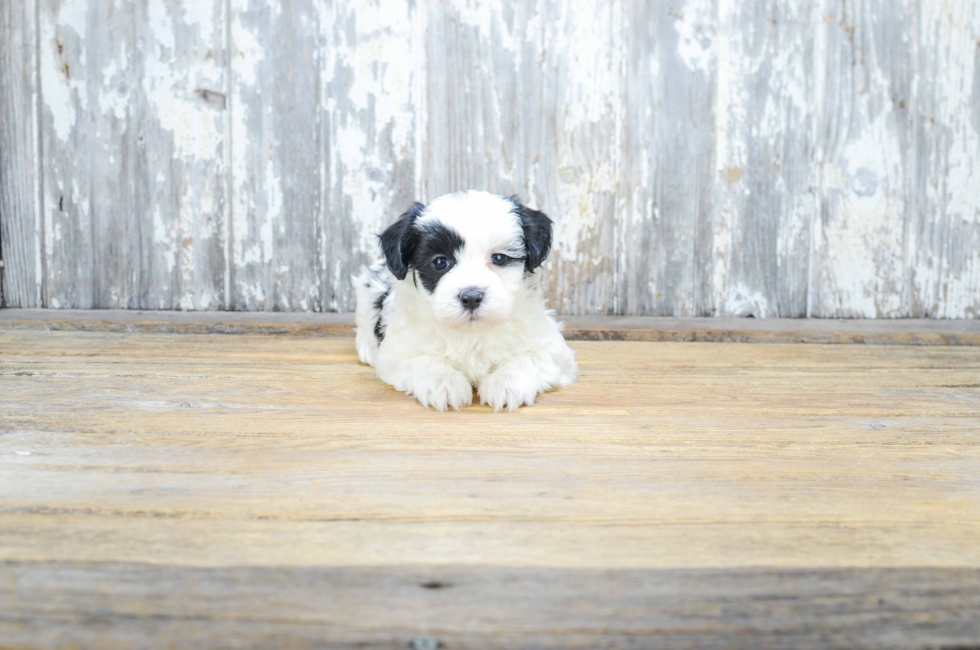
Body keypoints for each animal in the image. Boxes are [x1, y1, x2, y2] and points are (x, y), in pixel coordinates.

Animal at [354, 189, 580, 410]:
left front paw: (506, 383)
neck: (471, 333)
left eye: (499, 258)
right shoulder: (398, 353)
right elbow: (422, 360)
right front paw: (443, 383)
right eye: (440, 262)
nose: (471, 297)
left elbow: (527, 359)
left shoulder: (550, 348)